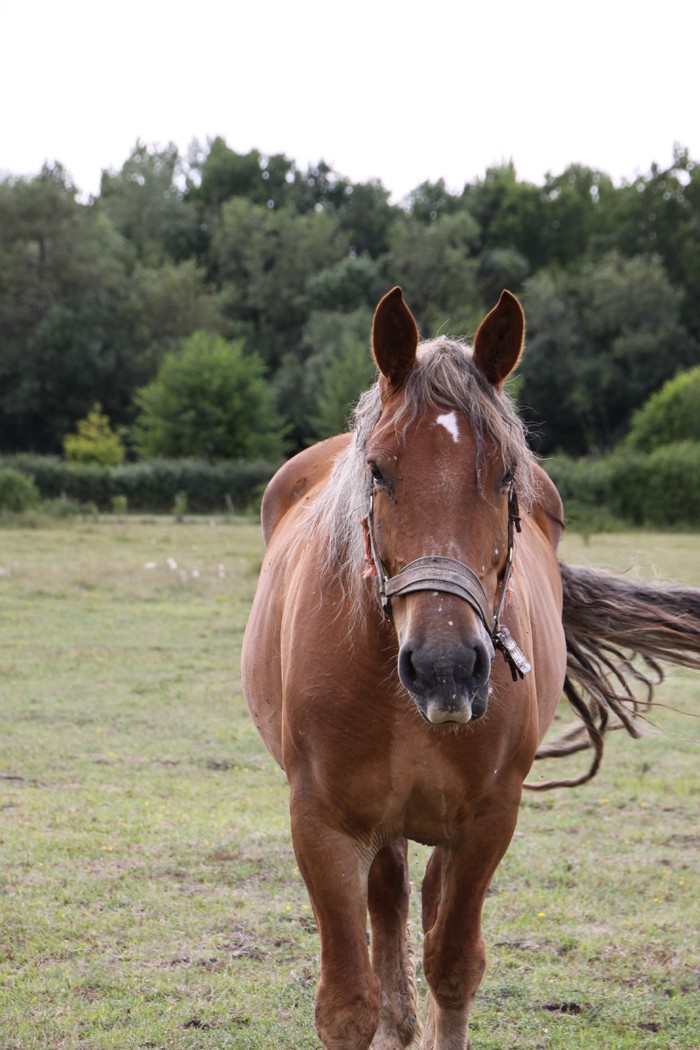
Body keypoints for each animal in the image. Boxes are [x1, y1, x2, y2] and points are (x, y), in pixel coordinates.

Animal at [241, 287, 700, 1050]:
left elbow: (454, 965)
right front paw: (383, 1019)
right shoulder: (321, 821)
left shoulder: (489, 819)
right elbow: (347, 1002)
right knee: (391, 898)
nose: (446, 668)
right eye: (378, 470)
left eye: (507, 474)